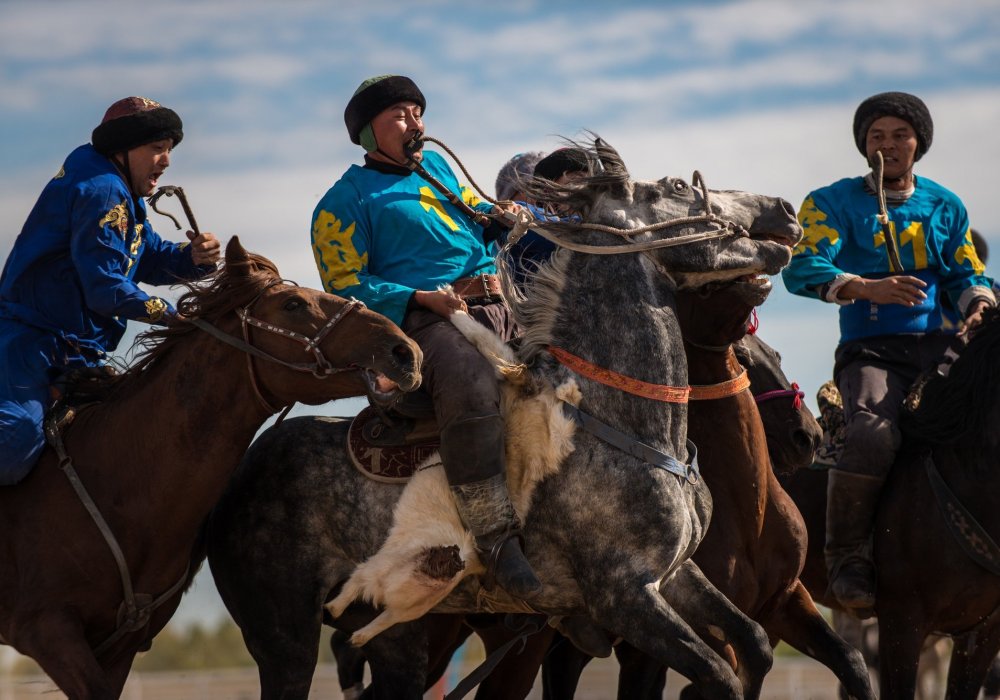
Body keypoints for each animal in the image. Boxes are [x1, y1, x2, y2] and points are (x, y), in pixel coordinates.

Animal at [207, 138, 800, 700]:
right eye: (677, 185)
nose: (784, 209)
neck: (617, 421)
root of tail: (243, 467)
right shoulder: (625, 596)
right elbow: (718, 674)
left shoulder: (676, 575)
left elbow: (753, 644)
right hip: (286, 639)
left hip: (395, 630)